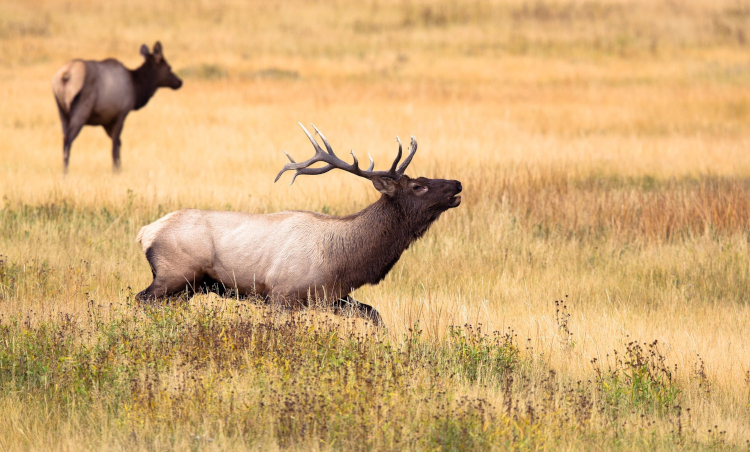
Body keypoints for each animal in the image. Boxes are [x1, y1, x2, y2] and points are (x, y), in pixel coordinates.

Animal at [52, 41, 182, 173]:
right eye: (169, 67)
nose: (179, 82)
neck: (136, 90)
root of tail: (65, 76)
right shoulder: (121, 113)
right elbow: (116, 143)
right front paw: (116, 169)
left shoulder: (106, 120)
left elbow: (118, 142)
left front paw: (118, 167)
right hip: (81, 110)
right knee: (68, 140)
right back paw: (65, 171)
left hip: (62, 112)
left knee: (64, 137)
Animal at [135, 123, 464, 324]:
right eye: (419, 186)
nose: (457, 184)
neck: (344, 260)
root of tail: (145, 233)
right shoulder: (282, 294)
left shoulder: (333, 297)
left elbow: (375, 315)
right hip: (175, 274)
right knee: (140, 299)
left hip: (188, 288)